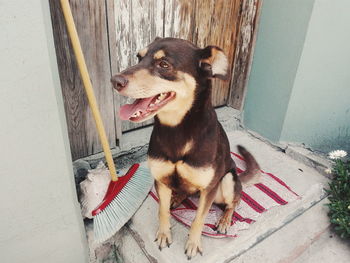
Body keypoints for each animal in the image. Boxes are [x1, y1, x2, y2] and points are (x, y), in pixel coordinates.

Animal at [111, 37, 260, 260]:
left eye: (164, 64)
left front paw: (193, 244)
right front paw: (164, 235)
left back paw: (225, 220)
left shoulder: (209, 188)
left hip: (227, 180)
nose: (115, 81)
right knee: (186, 192)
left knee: (233, 202)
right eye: (139, 57)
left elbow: (199, 218)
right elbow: (162, 211)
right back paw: (177, 198)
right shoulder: (160, 180)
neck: (176, 128)